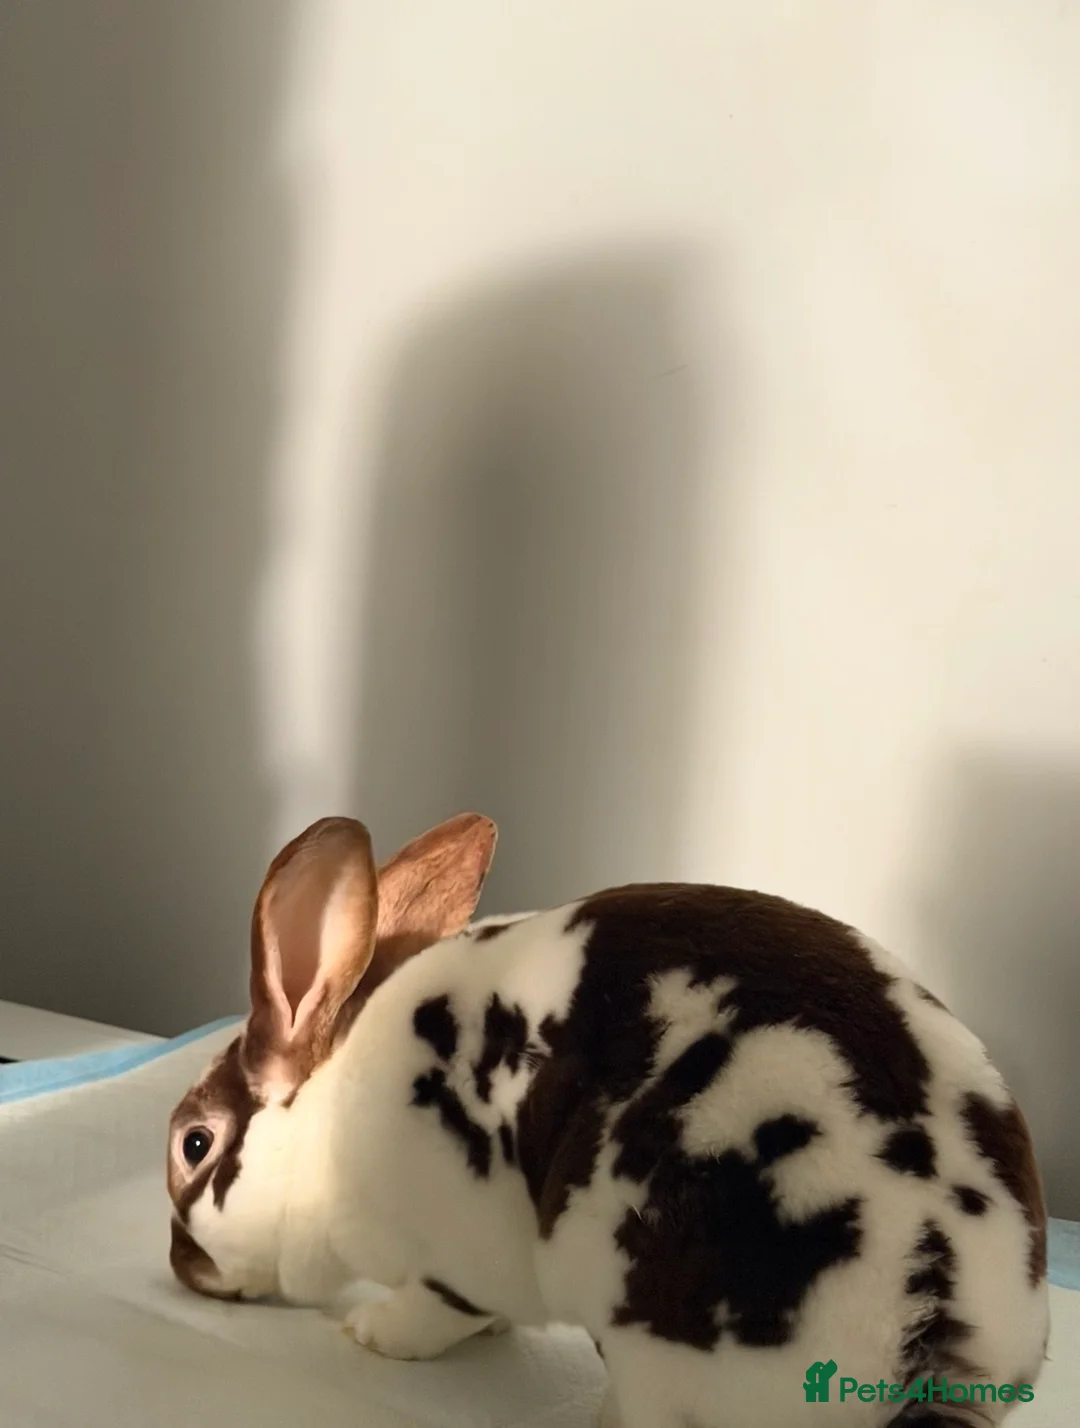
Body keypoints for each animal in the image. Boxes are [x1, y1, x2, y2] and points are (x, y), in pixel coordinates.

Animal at [167, 812, 1049, 1428]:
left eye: (194, 1144)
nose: (183, 1269)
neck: (325, 1134)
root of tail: (928, 1334)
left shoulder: (458, 1254)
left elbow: (434, 1311)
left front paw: (369, 1333)